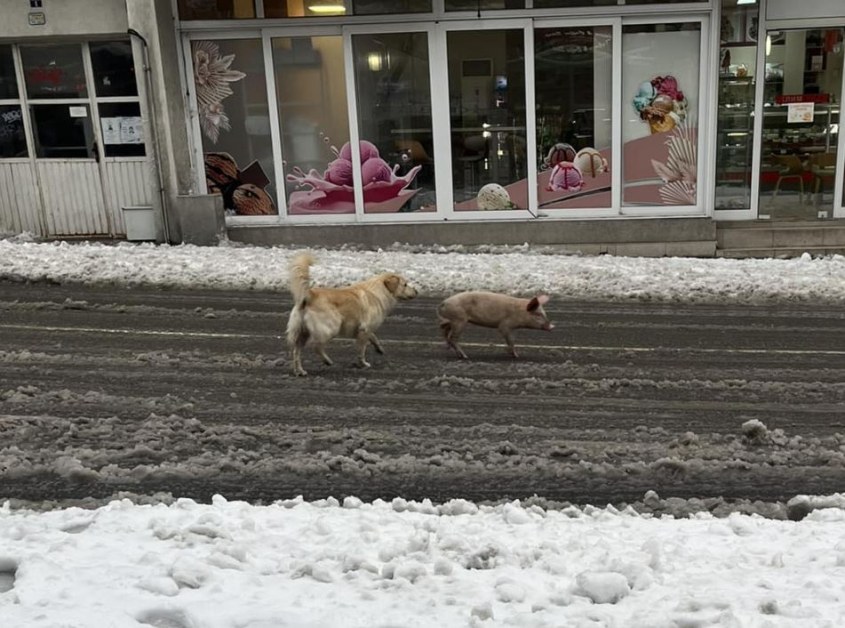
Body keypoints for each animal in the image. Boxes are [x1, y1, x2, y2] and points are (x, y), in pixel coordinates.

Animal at [286, 253, 418, 376]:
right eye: (405, 284)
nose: (416, 291)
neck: (380, 291)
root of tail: (309, 295)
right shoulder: (364, 329)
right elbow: (362, 350)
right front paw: (363, 363)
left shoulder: (365, 329)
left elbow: (374, 337)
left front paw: (379, 349)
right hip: (331, 327)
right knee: (315, 345)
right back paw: (327, 361)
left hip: (302, 332)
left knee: (296, 351)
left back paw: (300, 371)